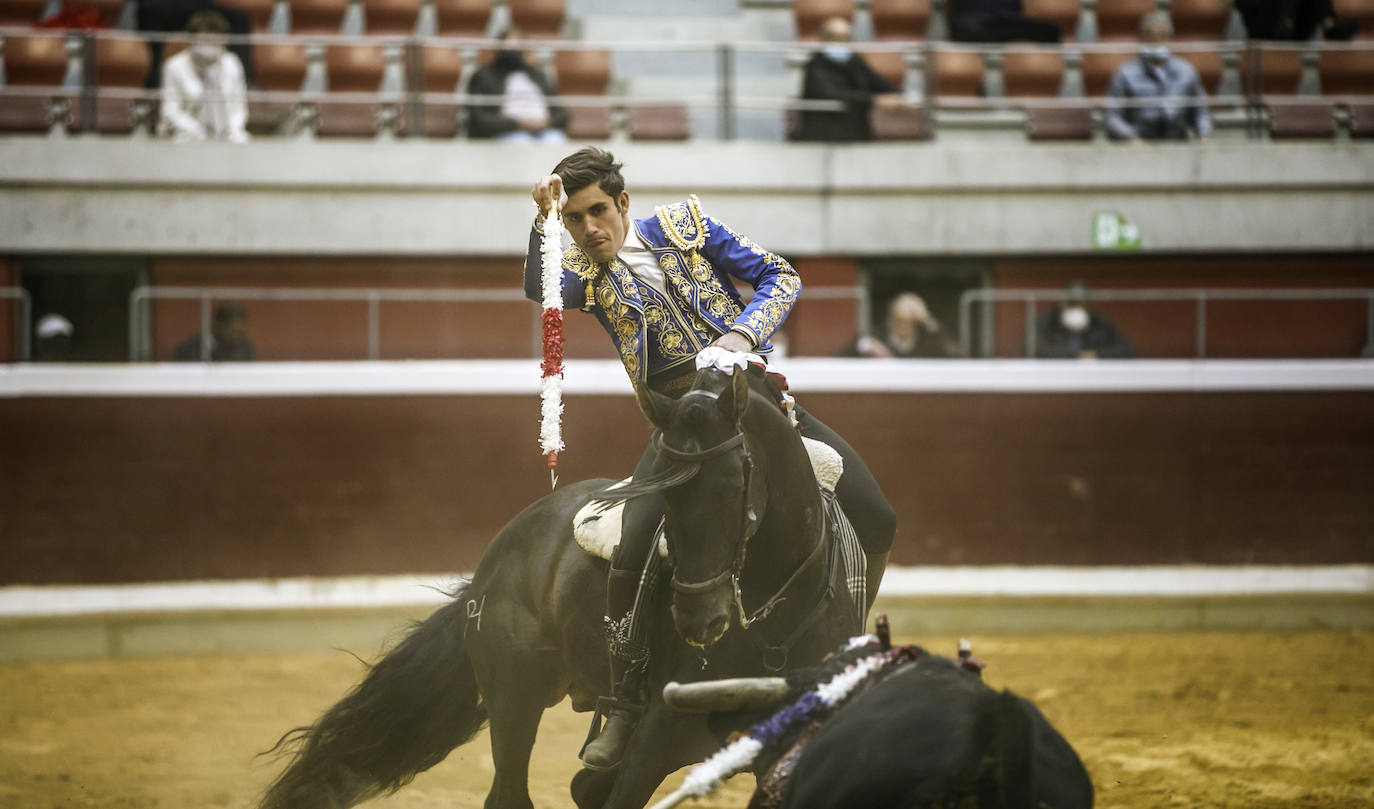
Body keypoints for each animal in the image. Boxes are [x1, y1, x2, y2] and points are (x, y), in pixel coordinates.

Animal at [255, 365, 890, 807]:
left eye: (736, 485)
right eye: (666, 495)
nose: (698, 622)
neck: (773, 625)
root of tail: (500, 555)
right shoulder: (655, 739)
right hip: (515, 698)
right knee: (512, 795)